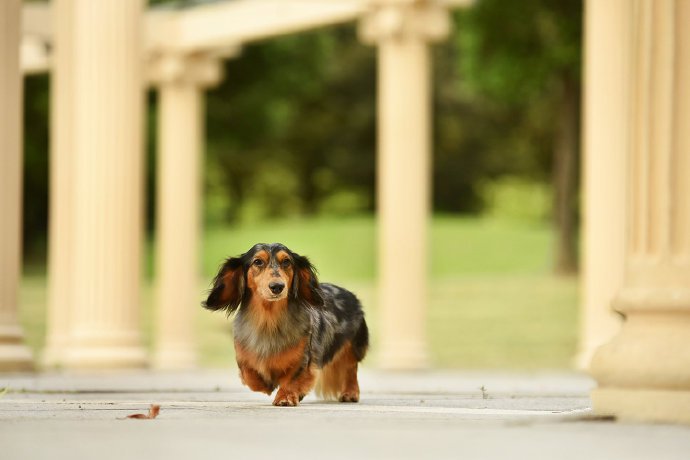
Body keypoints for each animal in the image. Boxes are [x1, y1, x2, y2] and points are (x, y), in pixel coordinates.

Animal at [202, 243, 368, 404]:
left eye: (286, 262)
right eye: (258, 262)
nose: (277, 286)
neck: (269, 321)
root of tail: (351, 295)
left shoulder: (303, 359)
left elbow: (292, 378)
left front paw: (285, 397)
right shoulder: (244, 356)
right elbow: (249, 374)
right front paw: (266, 384)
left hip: (351, 348)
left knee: (350, 369)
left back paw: (350, 393)